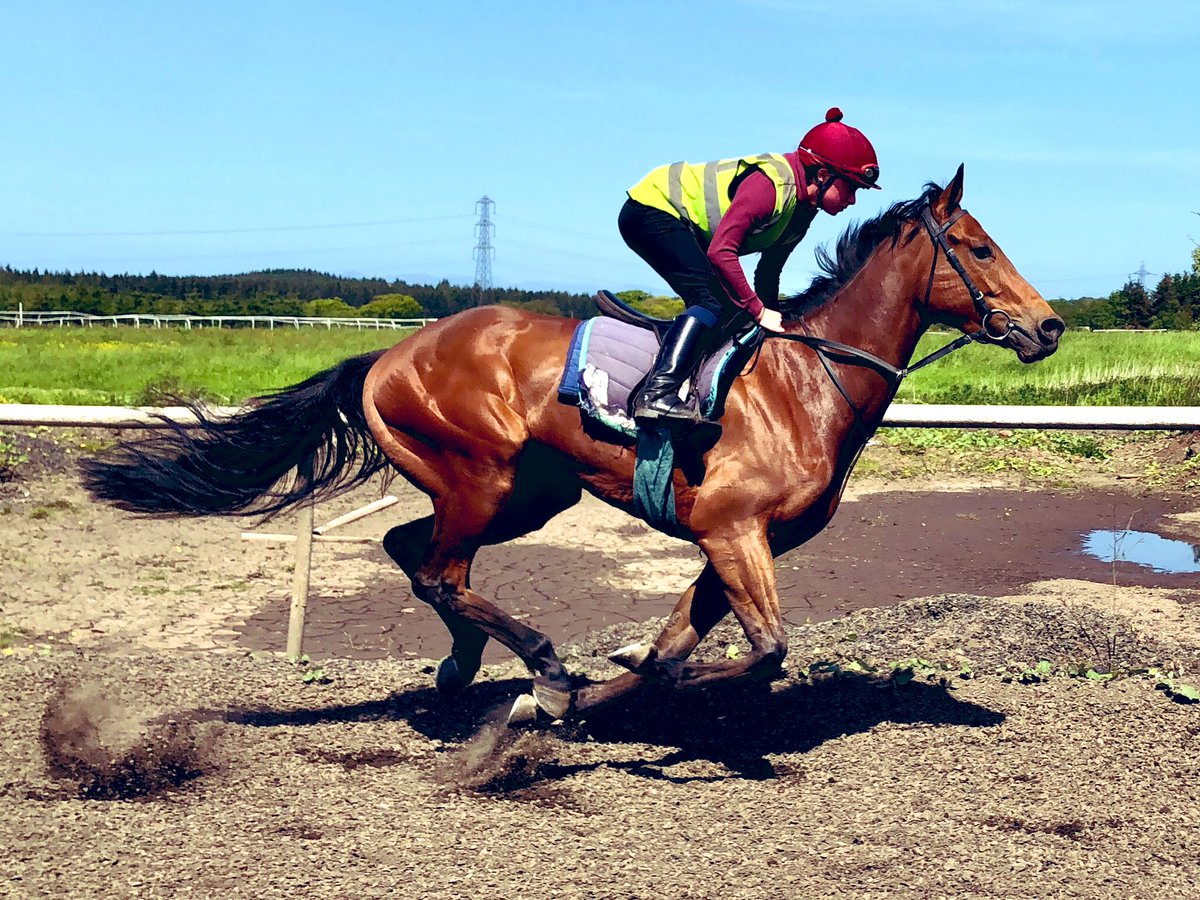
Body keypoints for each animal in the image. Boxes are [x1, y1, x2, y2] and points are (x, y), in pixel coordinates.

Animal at [82, 169, 1060, 729]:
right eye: (977, 247)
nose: (1048, 326)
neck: (807, 379)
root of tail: (388, 354)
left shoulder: (736, 542)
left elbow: (675, 651)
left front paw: (603, 692)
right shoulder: (733, 531)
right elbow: (761, 654)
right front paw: (590, 689)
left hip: (528, 492)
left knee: (414, 554)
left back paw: (473, 670)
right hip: (479, 476)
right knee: (438, 570)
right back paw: (540, 666)